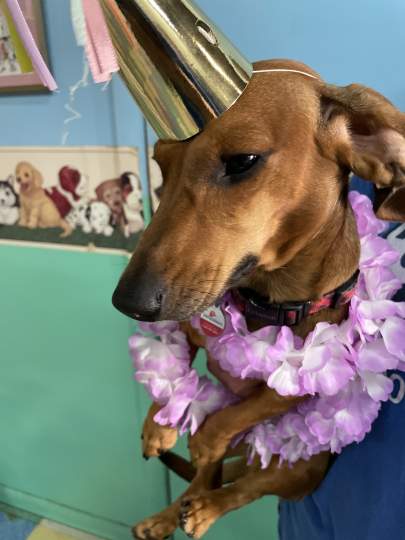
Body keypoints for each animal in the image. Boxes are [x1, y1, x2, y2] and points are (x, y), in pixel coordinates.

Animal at [112, 59, 404, 540]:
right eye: (160, 164)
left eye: (242, 161)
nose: (127, 302)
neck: (266, 298)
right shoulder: (192, 317)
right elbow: (175, 355)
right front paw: (158, 420)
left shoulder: (297, 390)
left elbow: (237, 416)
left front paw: (203, 436)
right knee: (205, 479)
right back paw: (170, 513)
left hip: (299, 468)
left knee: (241, 488)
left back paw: (204, 506)